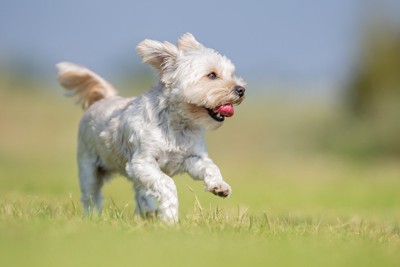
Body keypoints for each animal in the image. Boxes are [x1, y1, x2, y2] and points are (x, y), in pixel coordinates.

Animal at [55, 32, 244, 223]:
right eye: (212, 75)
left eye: (232, 74)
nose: (241, 89)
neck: (178, 125)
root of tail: (105, 98)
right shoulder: (142, 162)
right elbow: (167, 184)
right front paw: (170, 219)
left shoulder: (192, 158)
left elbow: (210, 167)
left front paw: (220, 186)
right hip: (89, 166)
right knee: (91, 194)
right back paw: (92, 216)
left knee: (139, 190)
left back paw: (148, 209)